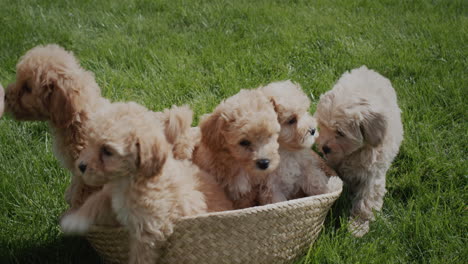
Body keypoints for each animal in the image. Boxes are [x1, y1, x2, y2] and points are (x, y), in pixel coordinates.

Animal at [60, 101, 232, 264]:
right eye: (89, 142)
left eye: (107, 151)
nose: (81, 166)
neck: (128, 180)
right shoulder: (110, 196)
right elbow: (93, 202)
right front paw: (73, 220)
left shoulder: (148, 229)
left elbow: (140, 257)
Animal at [316, 66, 404, 237]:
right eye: (322, 125)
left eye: (340, 133)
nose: (324, 147)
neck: (353, 153)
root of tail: (369, 70)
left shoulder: (372, 175)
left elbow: (366, 201)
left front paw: (358, 226)